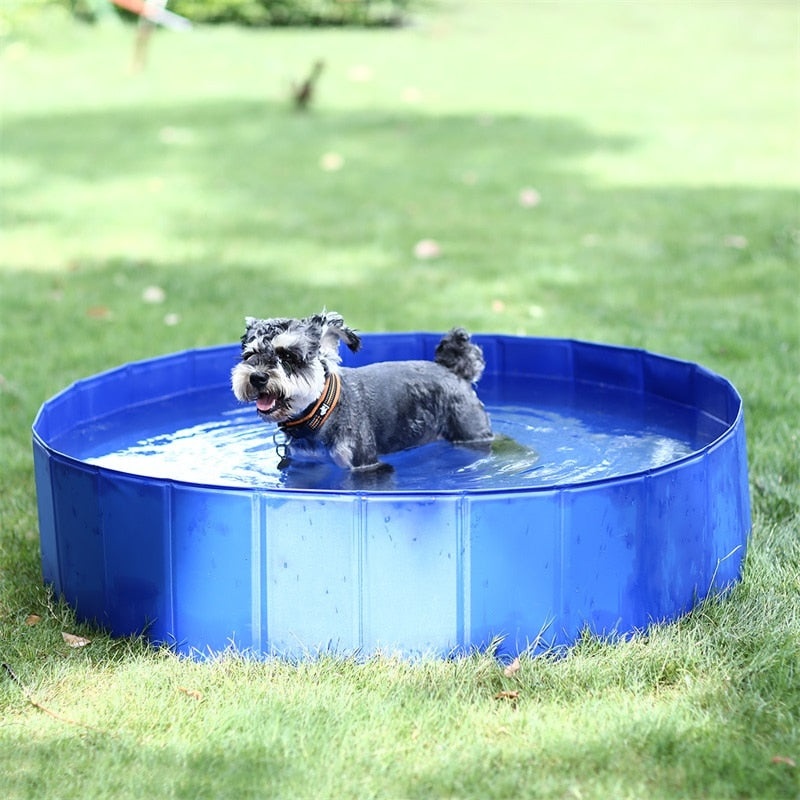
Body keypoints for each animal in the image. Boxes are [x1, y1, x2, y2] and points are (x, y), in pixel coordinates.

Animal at [230, 310, 494, 472]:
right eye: (250, 354)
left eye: (288, 356)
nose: (257, 377)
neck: (321, 412)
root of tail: (454, 371)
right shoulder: (305, 464)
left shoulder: (364, 466)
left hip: (471, 431)